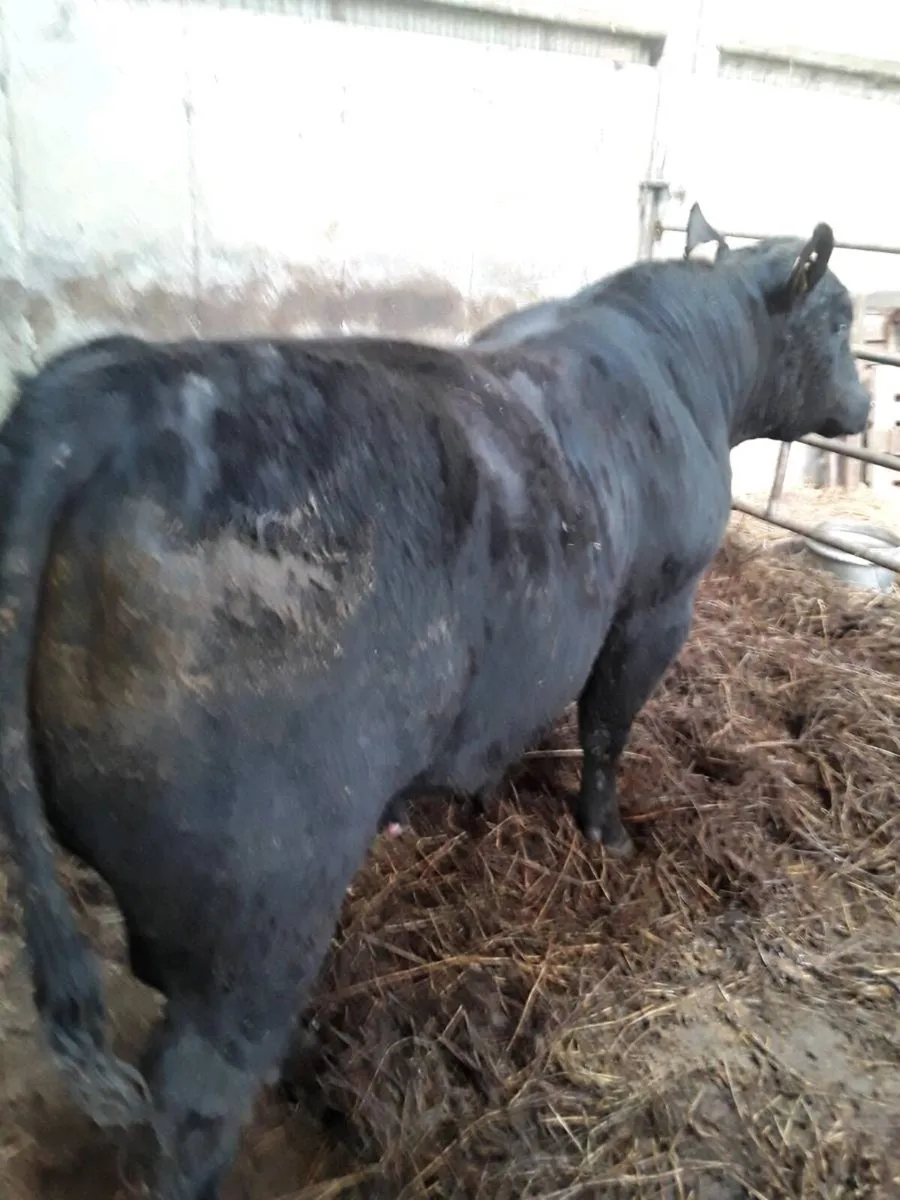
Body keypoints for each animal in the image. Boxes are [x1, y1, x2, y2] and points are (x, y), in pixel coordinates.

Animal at [0, 206, 870, 1198]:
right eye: (841, 319)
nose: (866, 408)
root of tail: (99, 389)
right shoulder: (657, 606)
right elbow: (607, 728)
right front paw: (606, 834)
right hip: (263, 883)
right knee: (194, 1099)